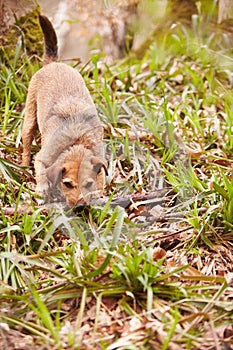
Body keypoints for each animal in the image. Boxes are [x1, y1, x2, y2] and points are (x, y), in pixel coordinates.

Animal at [21, 15, 106, 208]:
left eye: (88, 183)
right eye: (67, 184)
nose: (80, 206)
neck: (76, 142)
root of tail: (54, 64)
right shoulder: (42, 157)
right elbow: (42, 172)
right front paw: (42, 190)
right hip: (29, 119)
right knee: (26, 146)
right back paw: (23, 164)